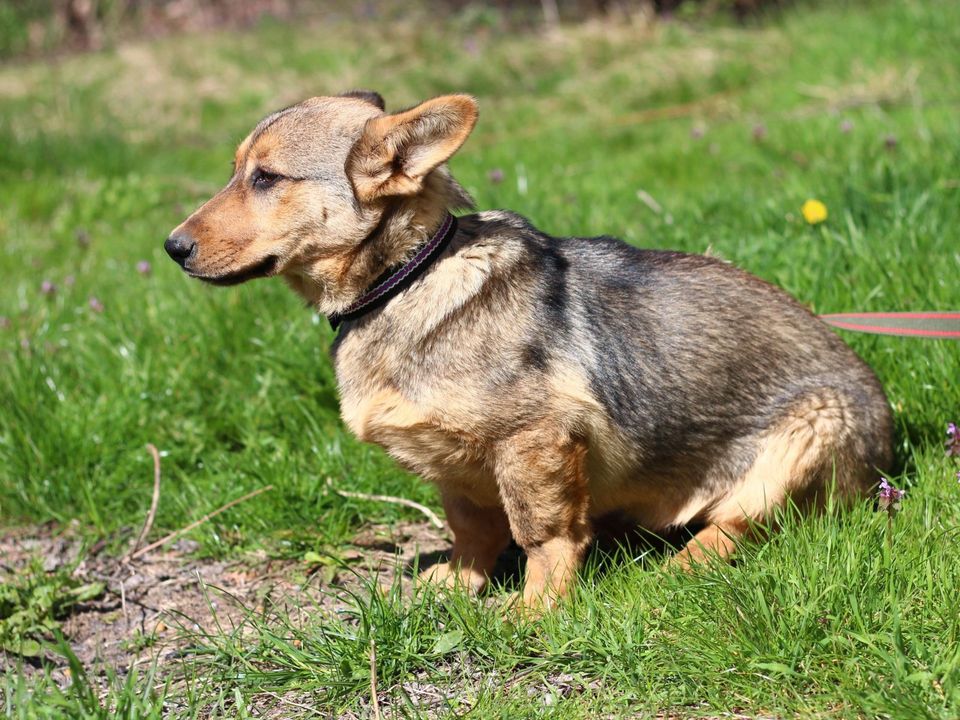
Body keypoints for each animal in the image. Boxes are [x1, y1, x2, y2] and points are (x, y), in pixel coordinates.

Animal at [163, 91, 892, 612]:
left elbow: (544, 534)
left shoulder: (535, 441)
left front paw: (537, 609)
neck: (407, 280)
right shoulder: (454, 464)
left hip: (803, 438)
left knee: (735, 528)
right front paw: (459, 583)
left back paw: (674, 572)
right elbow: (473, 528)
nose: (171, 247)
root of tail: (893, 449)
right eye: (238, 172)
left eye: (265, 178)